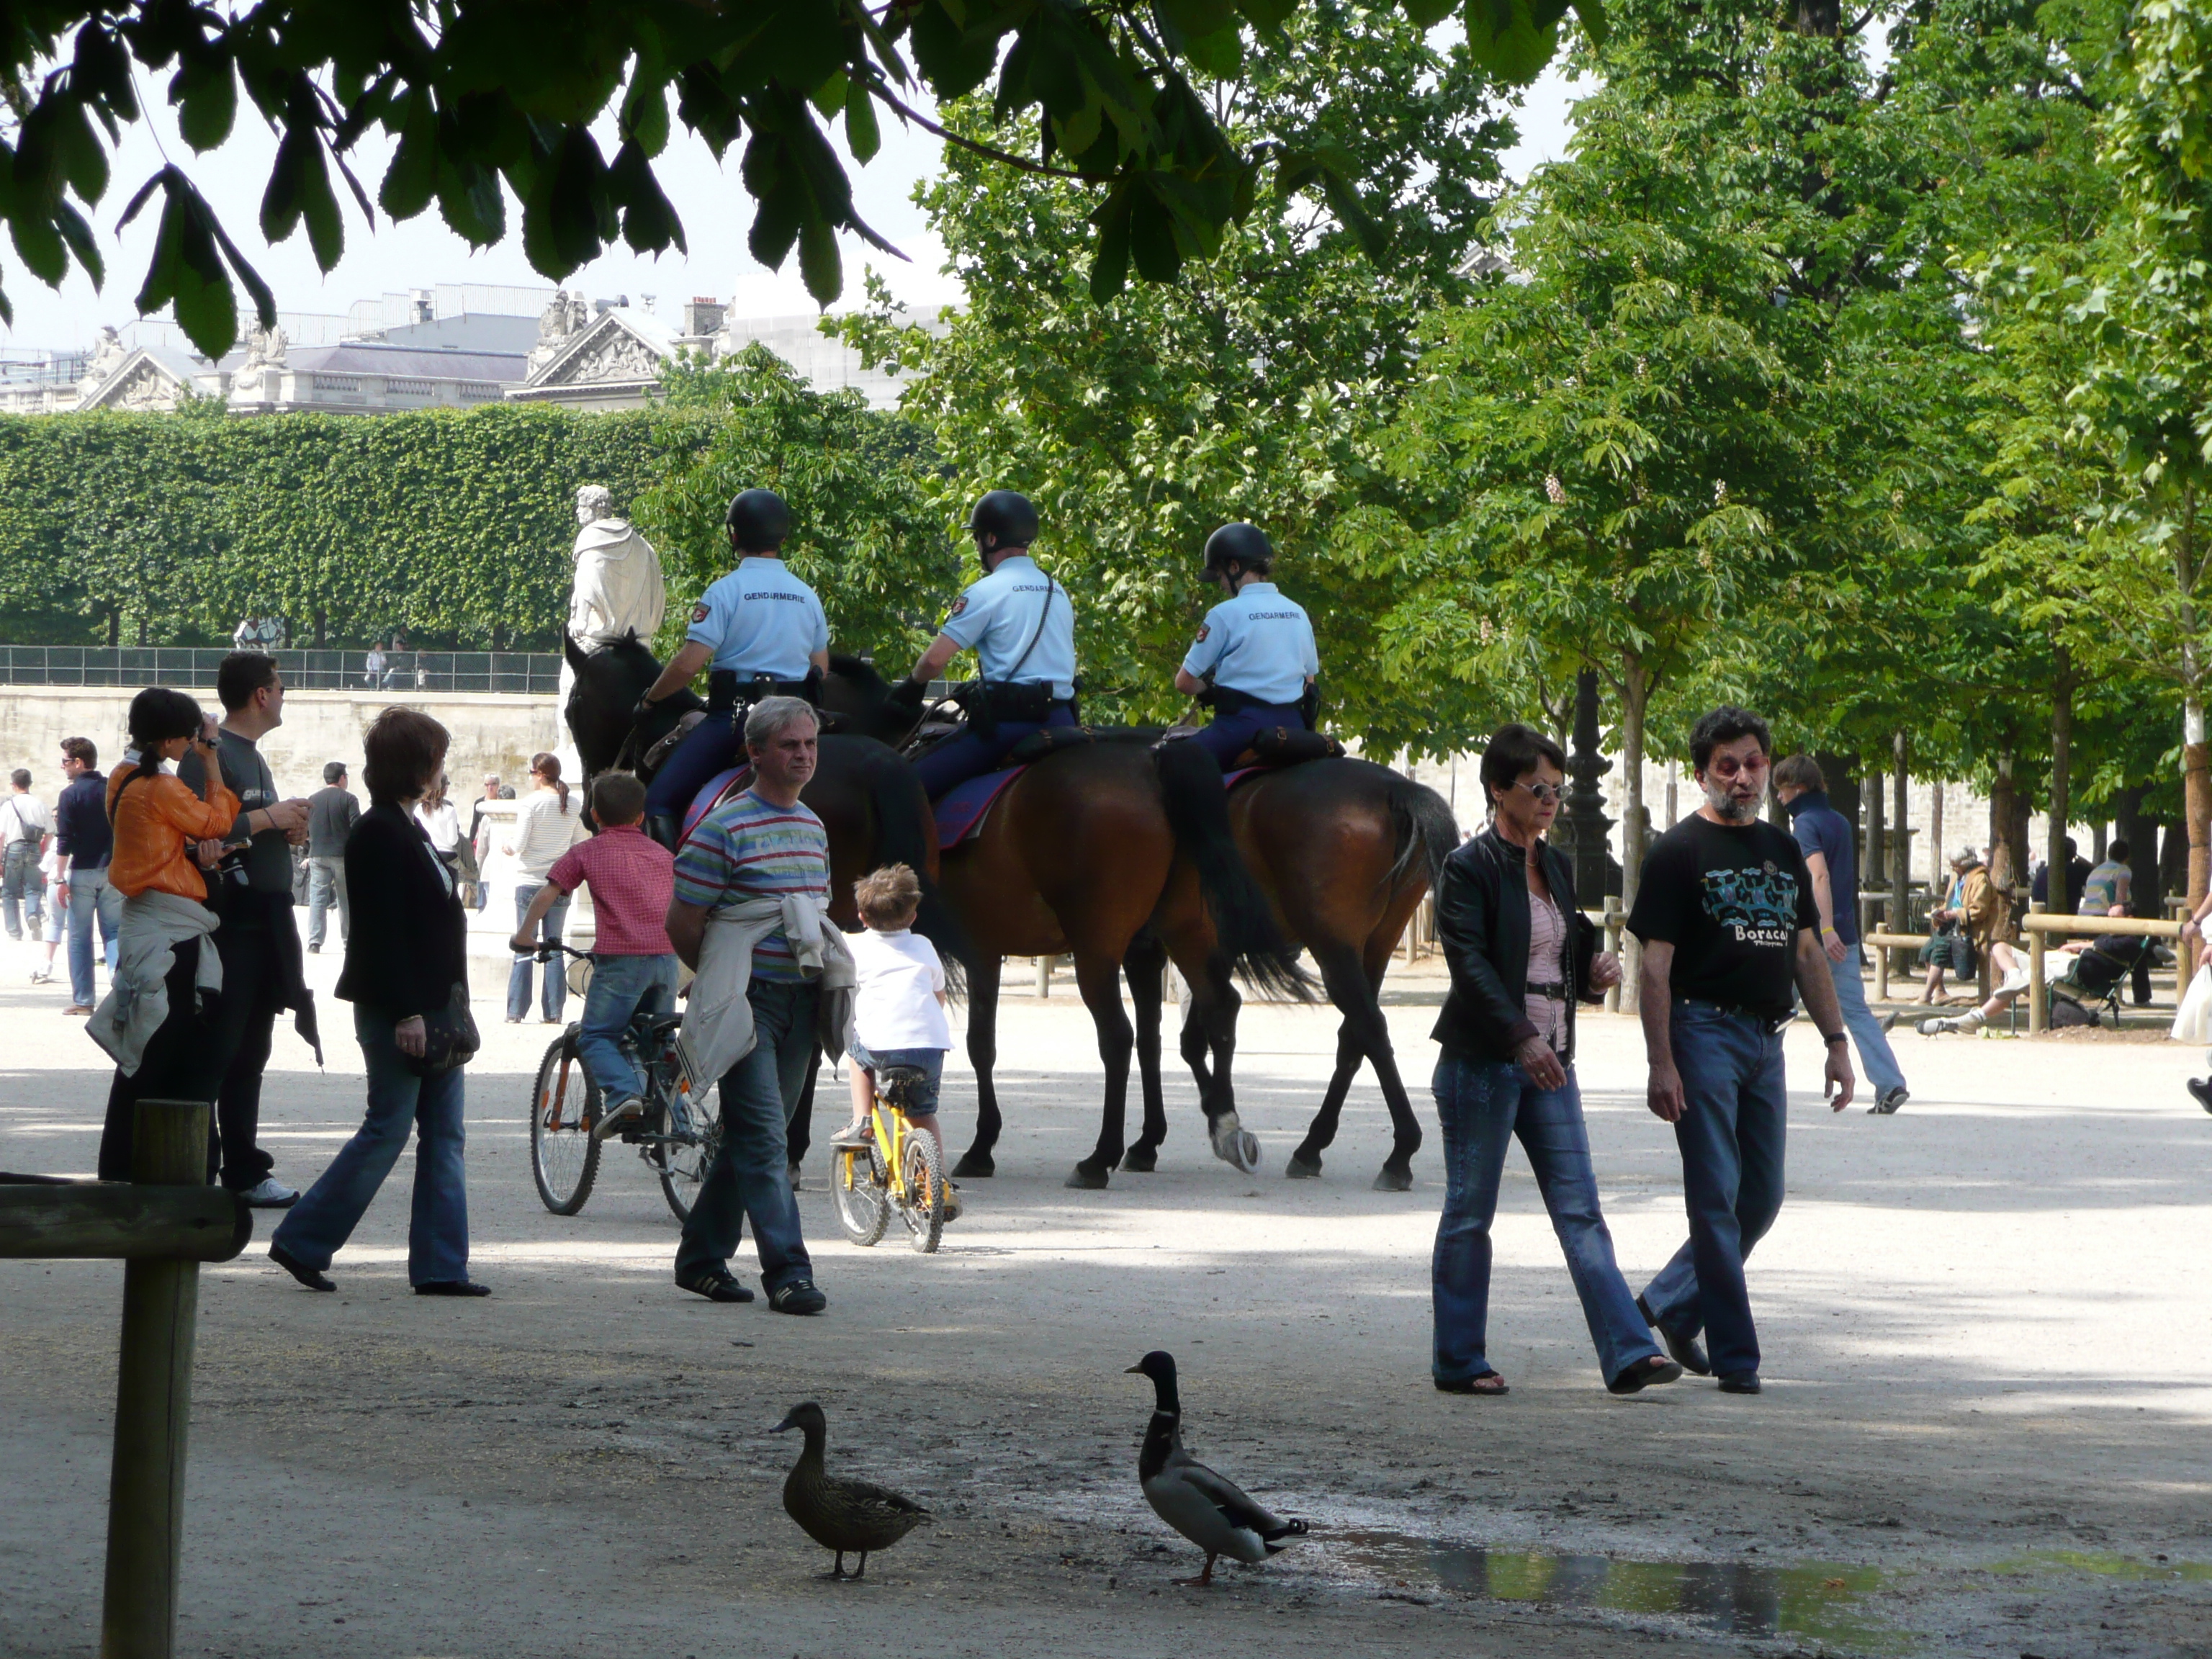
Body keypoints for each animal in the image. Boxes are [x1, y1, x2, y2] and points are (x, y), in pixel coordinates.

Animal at [827, 655, 1309, 1185]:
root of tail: (1153, 765)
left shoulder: (979, 951)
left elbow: (977, 1045)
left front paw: (981, 1145)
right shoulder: (1013, 950)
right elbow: (989, 1043)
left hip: (1097, 947)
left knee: (1118, 1036)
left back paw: (1100, 1156)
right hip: (1185, 929)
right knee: (1218, 1006)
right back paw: (1224, 1127)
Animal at [1141, 752, 1468, 1194]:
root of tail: (1394, 788)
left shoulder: (1158, 945)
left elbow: (1160, 1039)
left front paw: (1156, 1138)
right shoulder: (1206, 946)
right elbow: (1196, 1035)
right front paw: (1214, 1112)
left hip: (1333, 946)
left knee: (1369, 1026)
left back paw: (1399, 1151)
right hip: (1377, 944)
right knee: (1355, 1034)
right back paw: (1313, 1146)